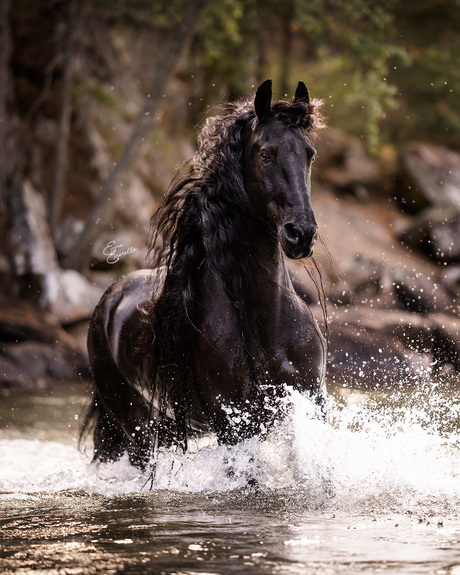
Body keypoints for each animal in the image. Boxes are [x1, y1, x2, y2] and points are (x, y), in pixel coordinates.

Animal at [82, 80, 328, 468]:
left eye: (310, 154)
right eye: (266, 154)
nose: (300, 234)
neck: (262, 324)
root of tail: (110, 298)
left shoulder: (310, 404)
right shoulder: (233, 426)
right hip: (137, 430)